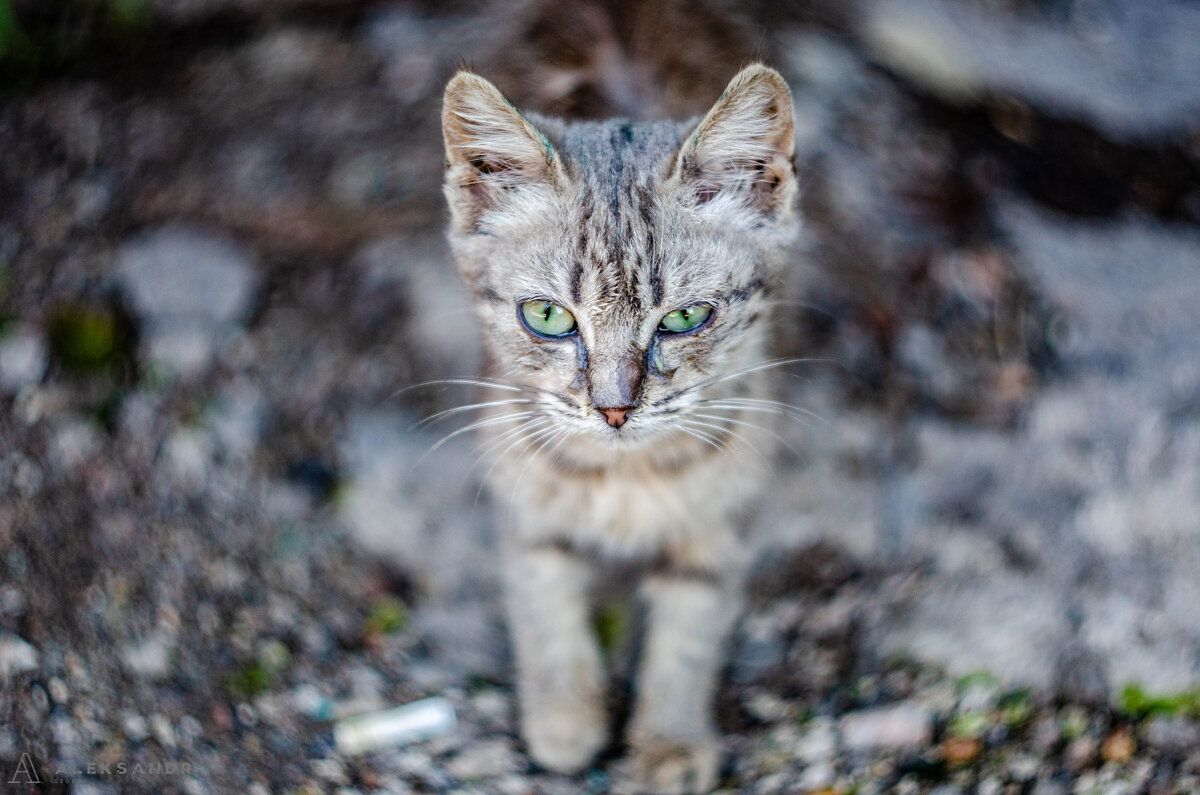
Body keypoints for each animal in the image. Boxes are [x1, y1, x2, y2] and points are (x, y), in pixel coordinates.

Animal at [441, 63, 796, 795]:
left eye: (685, 318)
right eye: (547, 316)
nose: (613, 408)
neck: (626, 475)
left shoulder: (724, 518)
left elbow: (689, 635)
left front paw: (669, 741)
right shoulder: (524, 501)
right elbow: (543, 601)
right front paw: (566, 717)